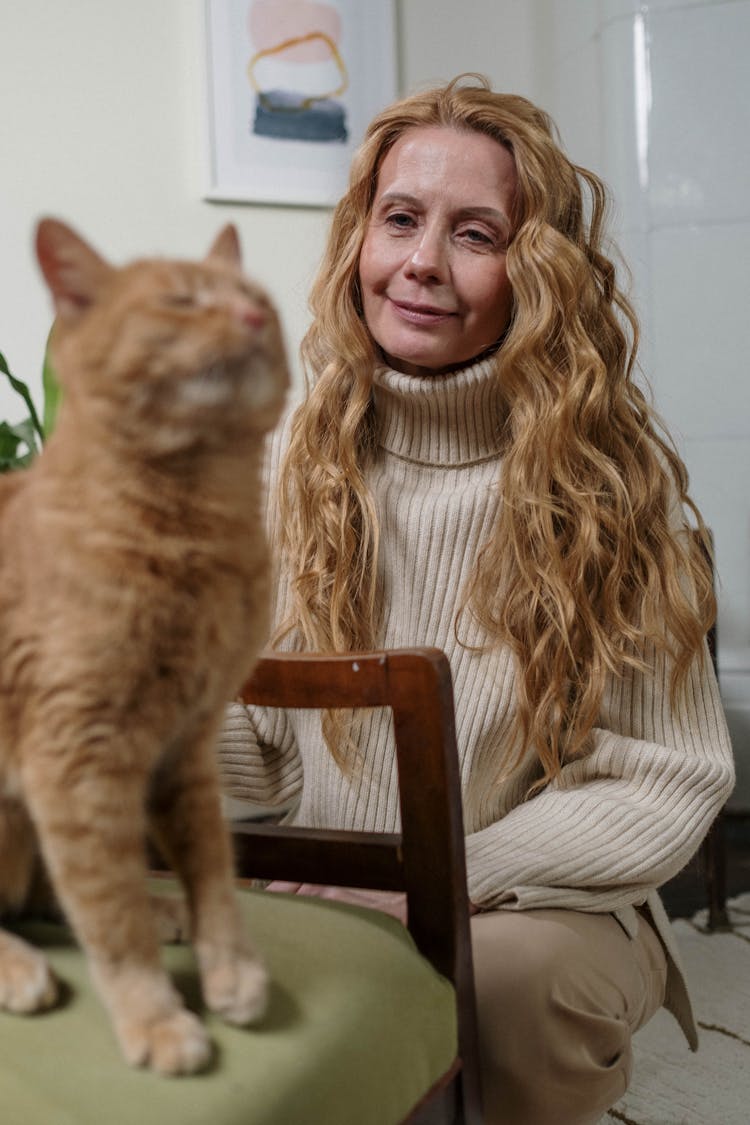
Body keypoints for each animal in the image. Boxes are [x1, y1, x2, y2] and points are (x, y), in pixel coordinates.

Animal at [0, 217, 287, 1071]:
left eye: (258, 299)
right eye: (182, 301)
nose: (252, 318)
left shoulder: (185, 747)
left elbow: (213, 870)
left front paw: (232, 970)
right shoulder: (76, 758)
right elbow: (111, 908)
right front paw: (155, 1016)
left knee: (41, 893)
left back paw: (168, 915)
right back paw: (19, 968)